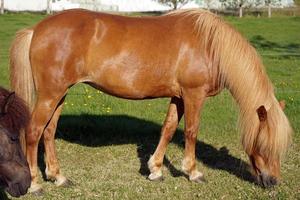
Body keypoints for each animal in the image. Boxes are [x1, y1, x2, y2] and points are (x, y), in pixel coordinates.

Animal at [8, 8, 290, 194]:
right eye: (264, 145)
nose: (273, 182)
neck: (210, 45)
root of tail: (36, 29)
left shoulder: (178, 97)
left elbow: (168, 129)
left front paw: (155, 169)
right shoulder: (193, 95)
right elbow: (191, 131)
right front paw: (193, 171)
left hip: (59, 94)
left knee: (49, 132)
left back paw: (58, 177)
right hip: (50, 94)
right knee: (34, 132)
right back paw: (34, 184)